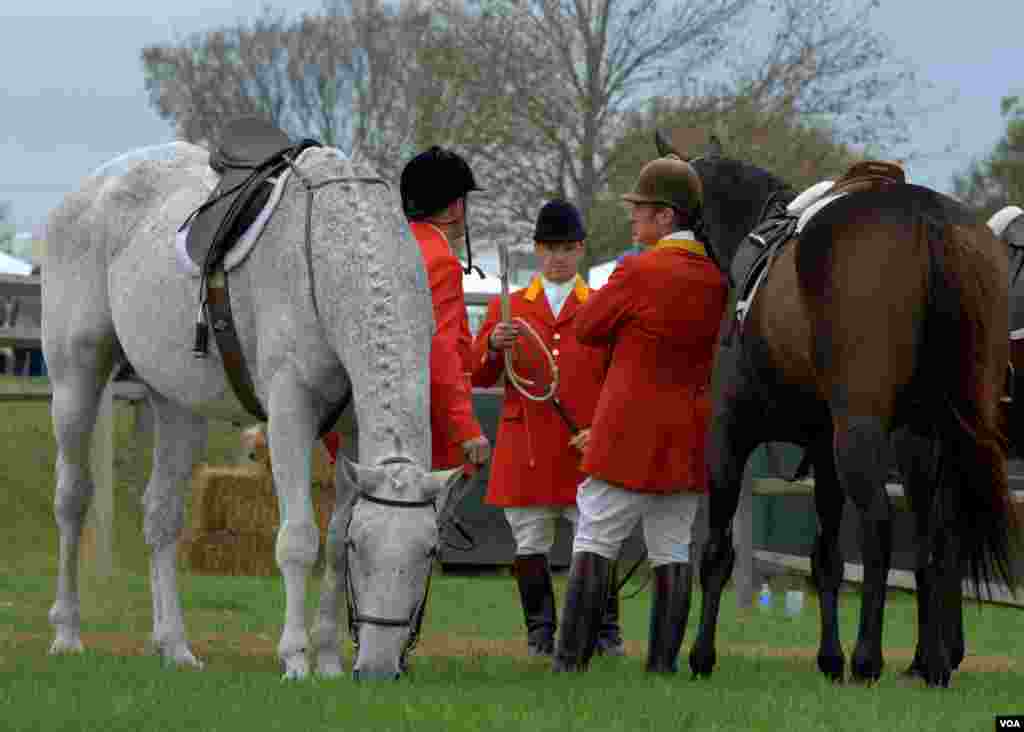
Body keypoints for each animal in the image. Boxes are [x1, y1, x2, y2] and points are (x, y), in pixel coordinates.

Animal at [41, 141, 468, 679]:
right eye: (363, 548)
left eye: (428, 553)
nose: (374, 668)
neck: (329, 250)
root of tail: (91, 187)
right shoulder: (290, 413)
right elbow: (300, 539)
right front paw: (296, 659)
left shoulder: (351, 434)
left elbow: (329, 541)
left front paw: (330, 659)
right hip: (75, 379)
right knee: (72, 498)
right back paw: (67, 632)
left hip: (178, 407)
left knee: (161, 516)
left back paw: (174, 645)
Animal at [655, 132, 1015, 687]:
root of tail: (926, 215)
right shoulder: (823, 450)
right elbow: (825, 556)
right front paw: (828, 657)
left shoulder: (729, 435)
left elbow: (717, 552)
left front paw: (701, 656)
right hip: (935, 437)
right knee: (939, 536)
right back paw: (931, 663)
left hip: (864, 435)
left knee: (881, 526)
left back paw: (870, 658)